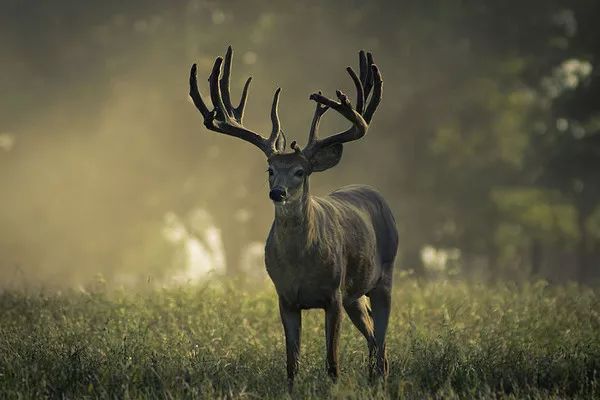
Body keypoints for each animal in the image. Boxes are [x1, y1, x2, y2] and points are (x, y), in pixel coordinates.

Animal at [190, 46, 398, 388]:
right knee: (371, 335)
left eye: (301, 171)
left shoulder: (333, 294)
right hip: (355, 295)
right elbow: (291, 361)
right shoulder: (285, 297)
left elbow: (332, 360)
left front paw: (334, 387)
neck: (301, 264)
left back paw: (380, 378)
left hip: (384, 276)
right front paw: (291, 387)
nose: (278, 193)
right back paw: (373, 377)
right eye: (270, 170)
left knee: (381, 337)